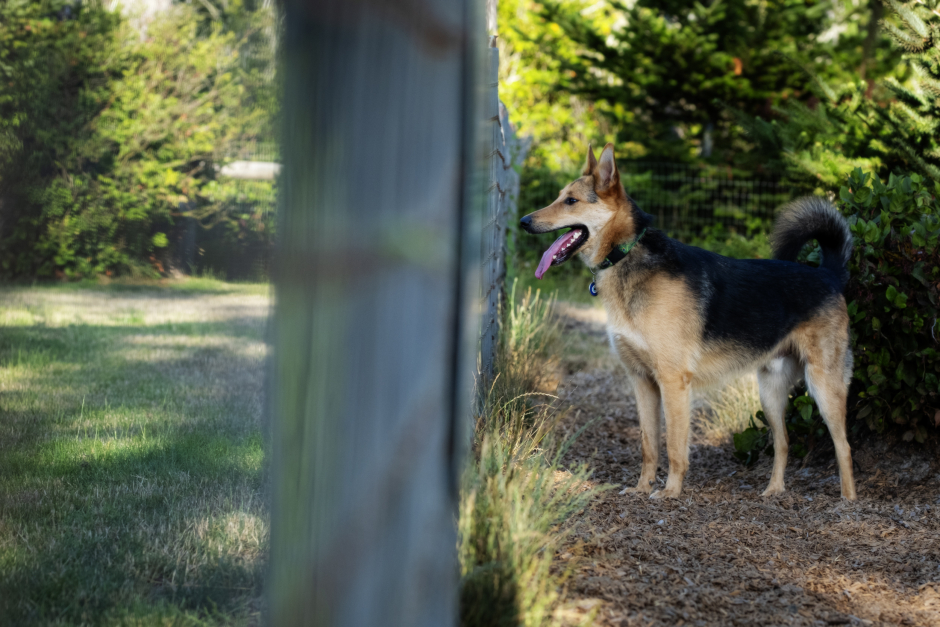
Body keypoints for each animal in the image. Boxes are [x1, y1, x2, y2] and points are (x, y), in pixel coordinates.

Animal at [520, 143, 856, 500]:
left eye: (571, 201)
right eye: (559, 197)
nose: (523, 221)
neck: (627, 254)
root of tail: (827, 274)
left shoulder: (672, 382)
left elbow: (674, 446)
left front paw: (670, 492)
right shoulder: (642, 381)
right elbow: (649, 445)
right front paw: (641, 487)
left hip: (823, 387)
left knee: (844, 446)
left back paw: (847, 501)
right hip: (770, 393)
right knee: (783, 443)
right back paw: (774, 490)